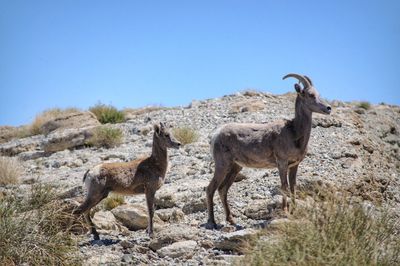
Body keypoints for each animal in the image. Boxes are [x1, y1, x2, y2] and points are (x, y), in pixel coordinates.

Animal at [205, 72, 332, 229]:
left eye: (318, 93)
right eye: (310, 94)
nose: (328, 108)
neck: (294, 132)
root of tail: (215, 135)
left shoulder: (294, 165)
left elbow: (293, 187)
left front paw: (295, 211)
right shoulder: (282, 163)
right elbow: (284, 186)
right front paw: (285, 212)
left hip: (235, 167)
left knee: (222, 189)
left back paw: (231, 220)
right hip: (222, 165)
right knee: (210, 189)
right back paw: (212, 222)